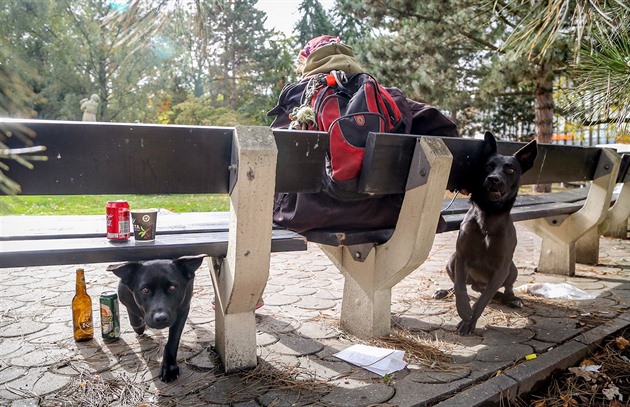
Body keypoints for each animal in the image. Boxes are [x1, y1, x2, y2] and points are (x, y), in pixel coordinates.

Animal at [436, 132, 540, 336]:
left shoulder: (501, 269)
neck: (489, 215)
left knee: (506, 289)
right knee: (460, 285)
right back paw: (445, 291)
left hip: (512, 269)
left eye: (510, 169)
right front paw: (464, 310)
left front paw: (470, 320)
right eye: (488, 166)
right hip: (451, 261)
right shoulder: (461, 258)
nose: (493, 179)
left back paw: (512, 299)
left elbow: (483, 299)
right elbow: (460, 288)